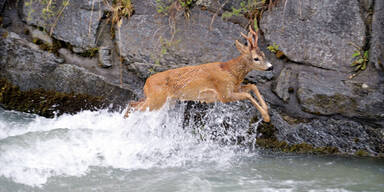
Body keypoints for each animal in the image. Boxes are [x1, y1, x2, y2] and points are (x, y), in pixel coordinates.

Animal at [124, 25, 272, 121]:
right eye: (256, 58)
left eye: (264, 54)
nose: (270, 67)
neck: (230, 71)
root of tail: (146, 83)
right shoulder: (224, 94)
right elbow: (248, 95)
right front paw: (266, 117)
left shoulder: (234, 88)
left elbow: (253, 86)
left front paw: (266, 111)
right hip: (156, 99)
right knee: (134, 107)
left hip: (161, 99)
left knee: (132, 103)